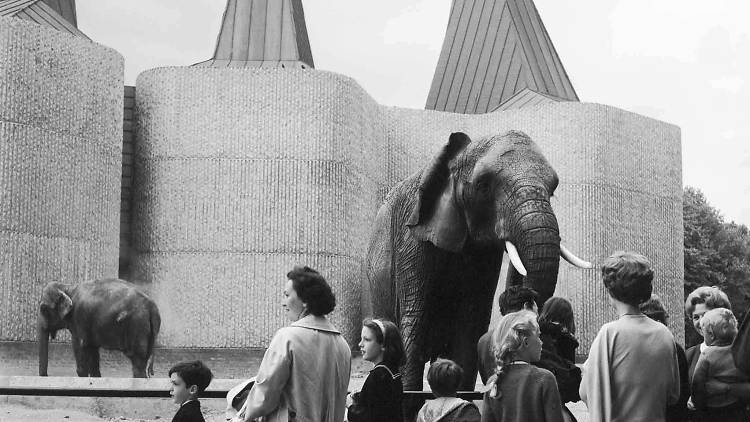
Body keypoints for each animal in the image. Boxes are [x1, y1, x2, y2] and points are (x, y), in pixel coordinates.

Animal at [364, 130, 592, 390]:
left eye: (552, 189)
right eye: (483, 185)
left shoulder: (485, 256)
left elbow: (470, 327)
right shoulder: (411, 241)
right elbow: (414, 323)